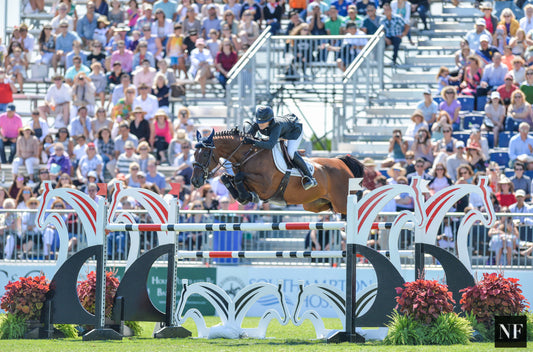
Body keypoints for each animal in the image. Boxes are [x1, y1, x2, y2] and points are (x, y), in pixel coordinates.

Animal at [191, 128, 366, 213]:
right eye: (194, 153)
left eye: (205, 154)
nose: (195, 181)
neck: (248, 154)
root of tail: (340, 161)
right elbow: (227, 178)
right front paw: (245, 197)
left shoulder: (266, 186)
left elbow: (239, 176)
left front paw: (248, 196)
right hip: (315, 204)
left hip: (341, 202)